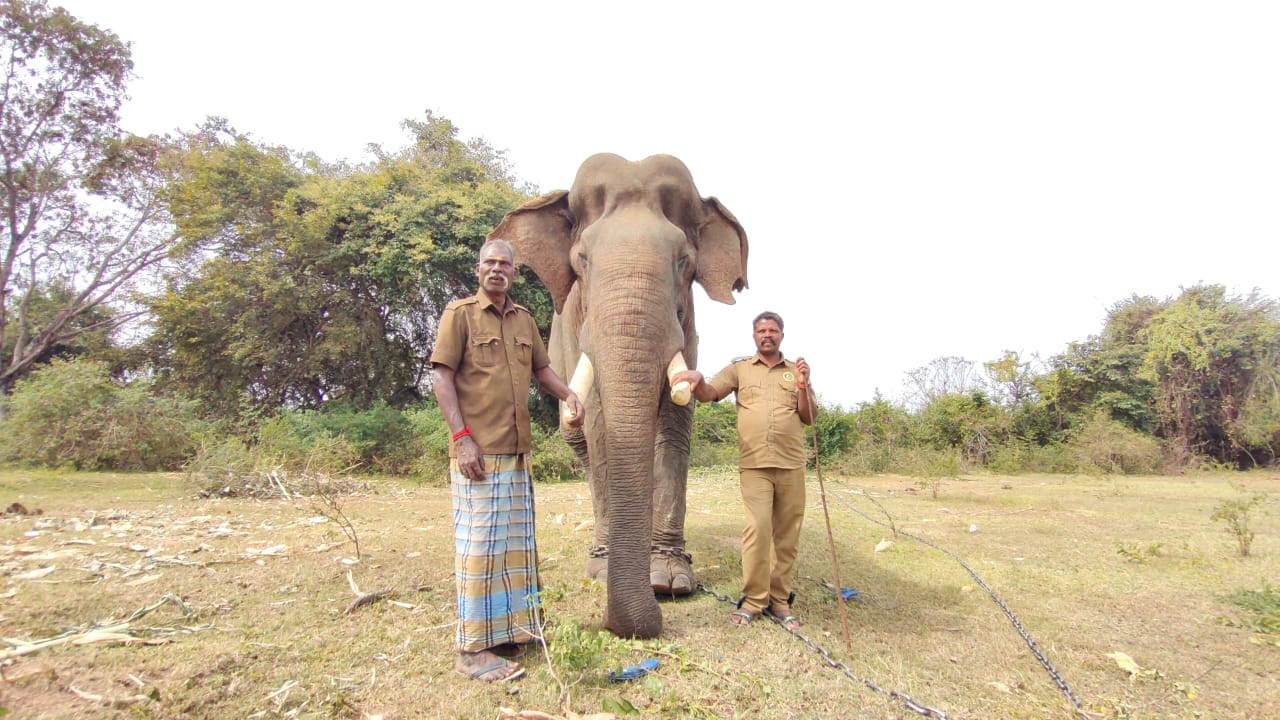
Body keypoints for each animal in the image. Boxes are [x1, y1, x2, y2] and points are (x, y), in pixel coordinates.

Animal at [488, 151, 747, 632]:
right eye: (582, 260)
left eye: (683, 261)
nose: (617, 622)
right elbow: (598, 425)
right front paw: (605, 573)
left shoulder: (688, 325)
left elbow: (674, 424)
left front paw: (669, 580)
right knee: (580, 443)